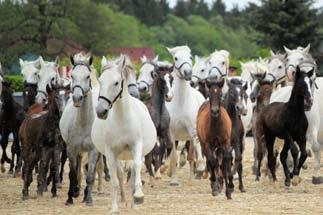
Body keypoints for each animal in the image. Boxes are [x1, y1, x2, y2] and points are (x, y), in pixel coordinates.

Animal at [91, 55, 157, 213]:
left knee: (133, 171)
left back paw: (133, 200)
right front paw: (114, 208)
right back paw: (125, 199)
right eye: (101, 81)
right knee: (121, 174)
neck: (122, 120)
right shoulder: (110, 152)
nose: (101, 111)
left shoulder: (136, 146)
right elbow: (115, 180)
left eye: (116, 82)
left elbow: (138, 167)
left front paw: (139, 196)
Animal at [165, 45, 205, 181]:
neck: (181, 102)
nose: (188, 73)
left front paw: (200, 168)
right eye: (176, 58)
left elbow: (196, 151)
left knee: (191, 155)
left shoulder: (193, 131)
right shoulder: (172, 134)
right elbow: (173, 156)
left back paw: (193, 175)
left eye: (190, 57)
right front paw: (172, 178)